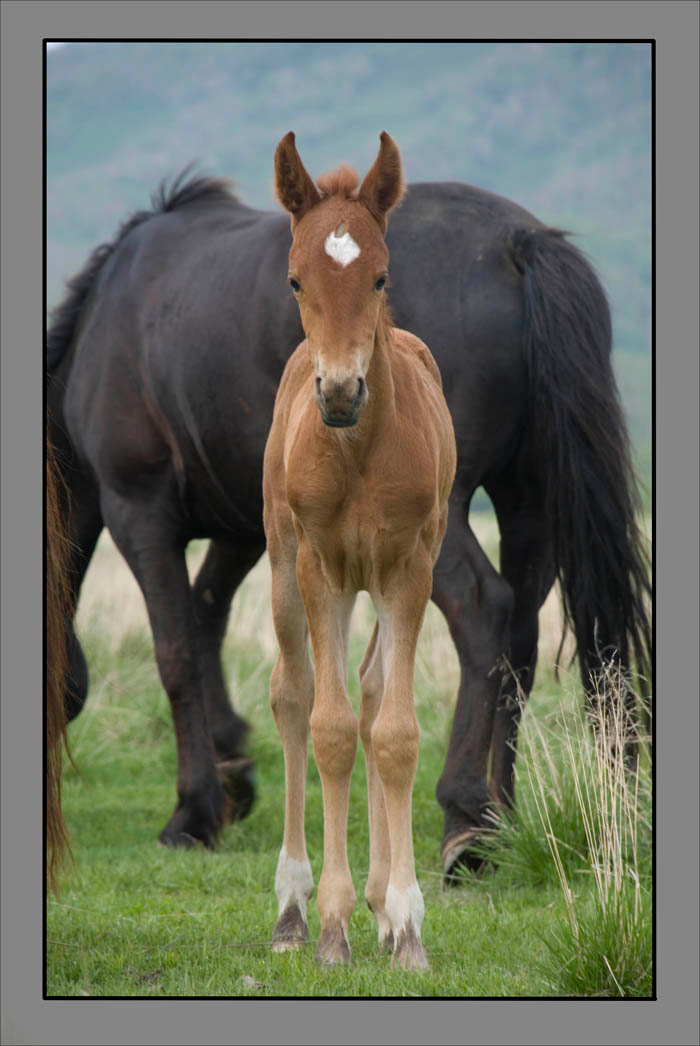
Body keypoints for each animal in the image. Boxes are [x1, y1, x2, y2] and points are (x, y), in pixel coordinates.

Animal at [46, 139, 651, 879]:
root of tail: (518, 242)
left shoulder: (139, 511)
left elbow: (178, 650)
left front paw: (193, 811)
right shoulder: (252, 526)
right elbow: (211, 620)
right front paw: (232, 772)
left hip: (441, 518)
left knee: (484, 613)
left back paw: (465, 820)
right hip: (527, 501)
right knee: (521, 639)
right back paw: (500, 817)